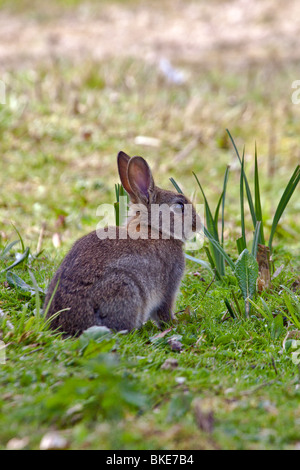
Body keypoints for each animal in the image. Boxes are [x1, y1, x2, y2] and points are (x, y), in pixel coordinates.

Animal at [43, 151, 200, 338]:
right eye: (179, 206)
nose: (198, 224)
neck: (155, 229)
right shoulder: (169, 286)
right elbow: (164, 310)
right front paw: (175, 324)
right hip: (126, 289)